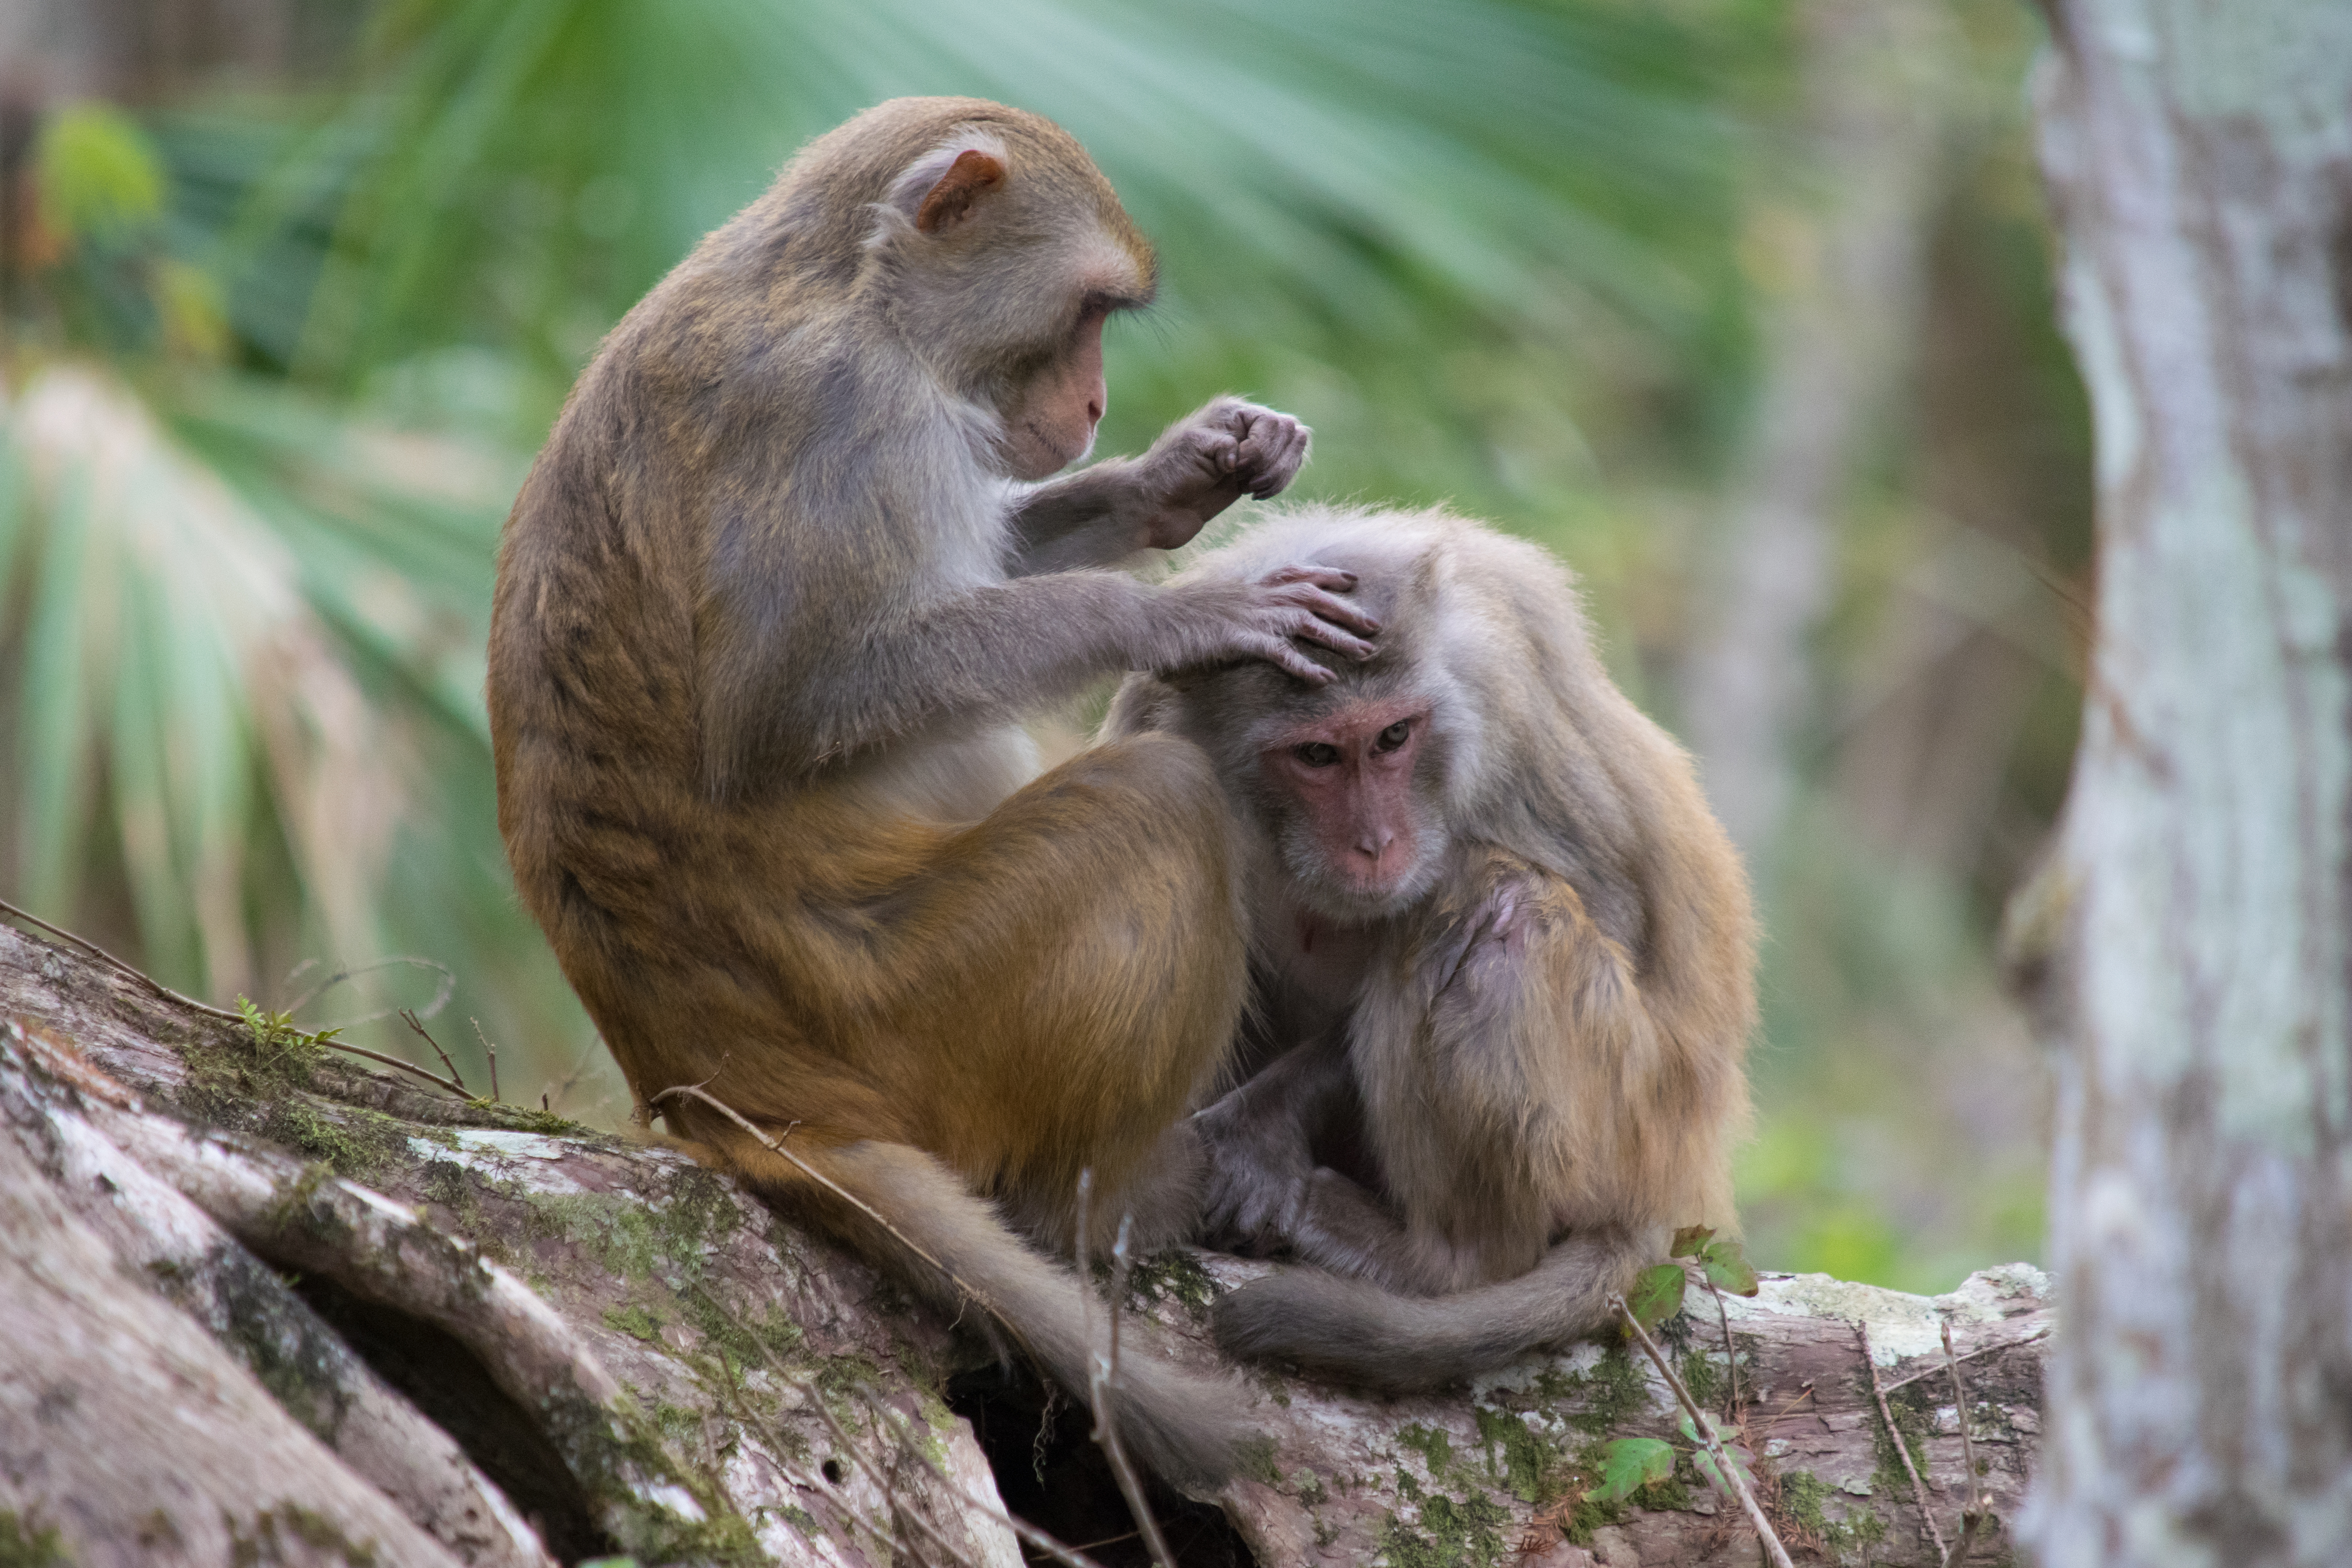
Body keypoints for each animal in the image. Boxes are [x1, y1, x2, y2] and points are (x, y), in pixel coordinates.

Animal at [485, 97, 1386, 1488]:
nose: (1095, 401)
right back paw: (1114, 1203)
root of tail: (734, 1102)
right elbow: (794, 709)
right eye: (1085, 312)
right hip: (927, 1016)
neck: (854, 294)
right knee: (1157, 803)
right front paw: (1170, 614)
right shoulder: (838, 416)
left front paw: (1180, 477)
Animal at [1104, 505, 1755, 1391]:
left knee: (1493, 902)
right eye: (1317, 754)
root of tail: (1676, 1184)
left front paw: (1259, 1128)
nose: (1376, 843)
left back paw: (1440, 1263)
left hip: (1627, 1120)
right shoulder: (1152, 715)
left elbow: (1616, 916)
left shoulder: (1507, 704)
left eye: (1392, 738)